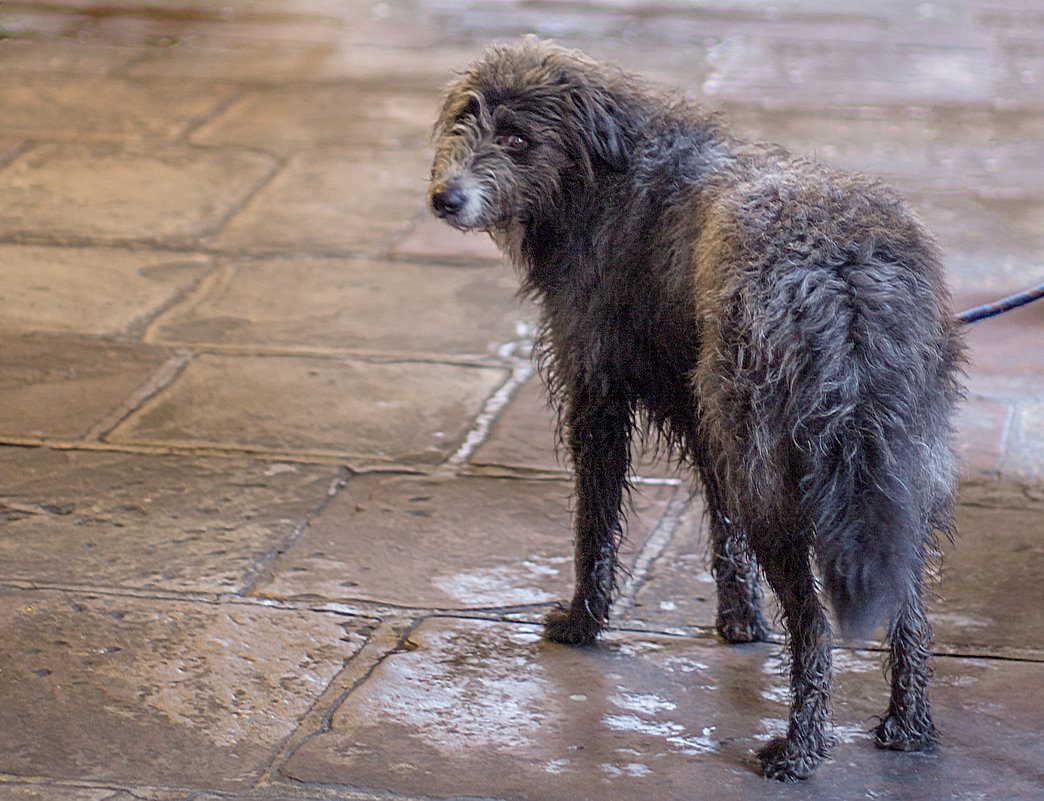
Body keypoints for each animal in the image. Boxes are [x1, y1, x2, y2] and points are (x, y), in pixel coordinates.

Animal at [428, 39, 964, 785]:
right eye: (464, 119)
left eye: (515, 138)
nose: (444, 198)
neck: (601, 170)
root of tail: (844, 276)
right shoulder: (707, 419)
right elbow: (721, 527)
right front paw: (739, 622)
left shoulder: (597, 396)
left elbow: (594, 525)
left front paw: (583, 623)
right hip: (890, 471)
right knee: (907, 604)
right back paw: (908, 725)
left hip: (777, 477)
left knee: (815, 623)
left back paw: (799, 747)